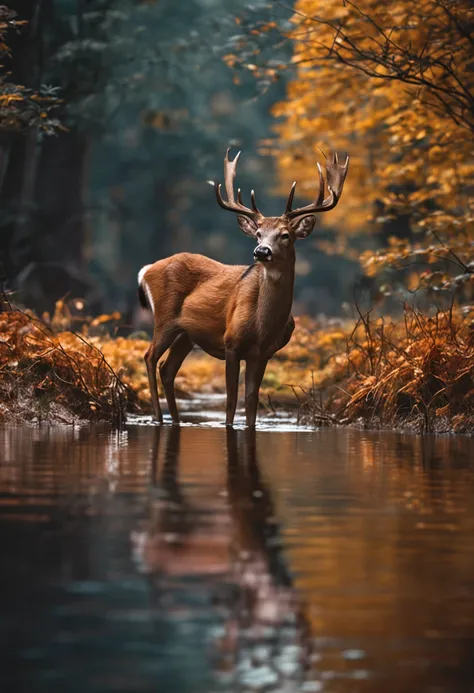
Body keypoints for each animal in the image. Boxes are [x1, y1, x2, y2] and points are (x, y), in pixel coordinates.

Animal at [137, 149, 348, 424]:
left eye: (285, 235)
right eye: (258, 234)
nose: (262, 251)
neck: (262, 327)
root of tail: (147, 270)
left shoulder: (263, 353)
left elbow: (250, 402)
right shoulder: (231, 343)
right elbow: (231, 401)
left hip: (186, 334)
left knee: (167, 368)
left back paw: (176, 419)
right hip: (165, 319)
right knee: (150, 357)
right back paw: (159, 418)